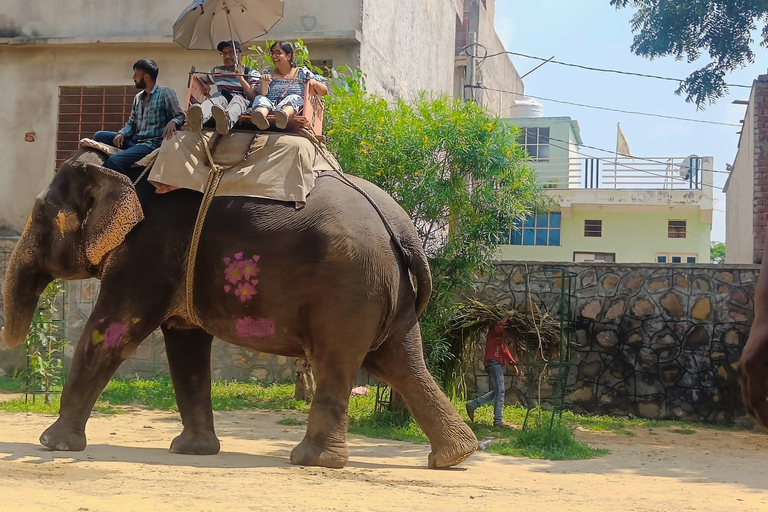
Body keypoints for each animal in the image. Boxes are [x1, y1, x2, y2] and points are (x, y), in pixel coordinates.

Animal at [1, 147, 480, 468]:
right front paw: (192, 452)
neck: (122, 169)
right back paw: (455, 457)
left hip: (347, 290)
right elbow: (186, 345)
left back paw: (311, 461)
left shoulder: (148, 250)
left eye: (40, 214)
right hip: (386, 295)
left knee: (337, 363)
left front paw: (51, 444)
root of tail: (402, 228)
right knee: (403, 363)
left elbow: (113, 330)